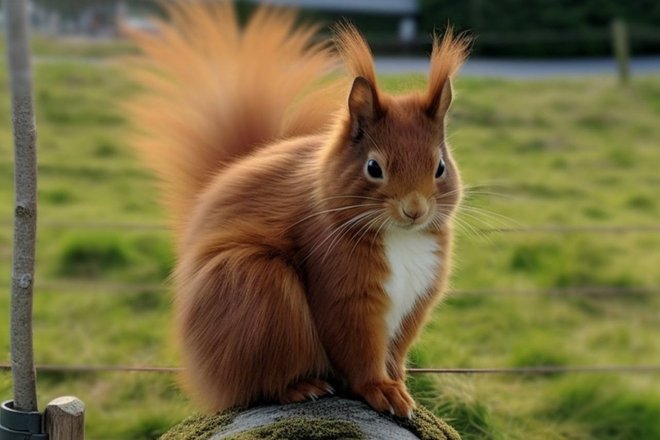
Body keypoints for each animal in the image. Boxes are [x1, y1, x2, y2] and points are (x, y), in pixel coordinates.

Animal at [127, 0, 470, 420]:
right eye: (374, 167)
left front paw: (401, 387)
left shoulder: (415, 301)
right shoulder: (342, 289)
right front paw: (380, 390)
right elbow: (359, 352)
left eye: (440, 167)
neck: (400, 239)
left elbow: (397, 353)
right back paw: (300, 387)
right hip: (257, 289)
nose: (414, 210)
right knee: (258, 385)